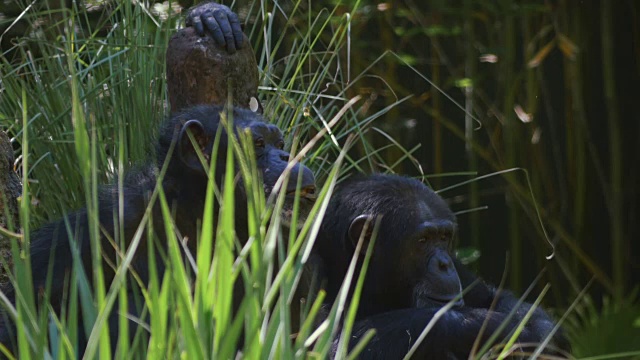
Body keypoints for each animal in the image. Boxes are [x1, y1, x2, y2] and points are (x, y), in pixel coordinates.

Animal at [0, 104, 316, 354]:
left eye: (280, 142)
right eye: (259, 143)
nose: (286, 157)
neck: (200, 211)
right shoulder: (90, 231)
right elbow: (21, 315)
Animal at [316, 173, 568, 358]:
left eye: (444, 237)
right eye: (422, 240)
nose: (444, 264)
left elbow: (499, 299)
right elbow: (333, 347)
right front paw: (497, 327)